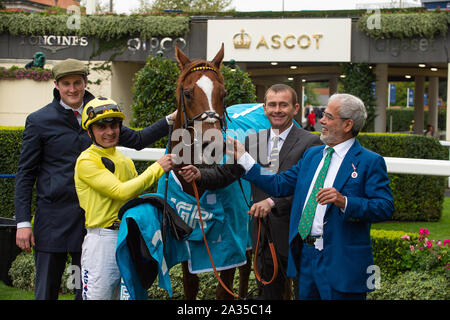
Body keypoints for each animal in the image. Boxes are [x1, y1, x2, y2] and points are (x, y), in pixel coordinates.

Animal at [171, 43, 251, 298]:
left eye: (223, 93)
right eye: (188, 93)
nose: (213, 145)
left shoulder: (231, 241)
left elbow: (223, 288)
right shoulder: (185, 238)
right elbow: (190, 284)